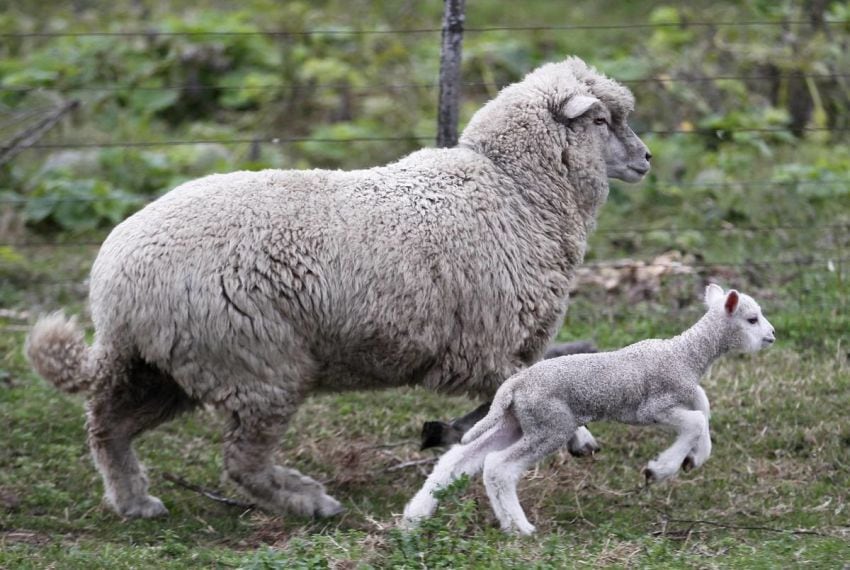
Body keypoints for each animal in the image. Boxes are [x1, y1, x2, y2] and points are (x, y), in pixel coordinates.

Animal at [24, 56, 648, 520]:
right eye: (600, 122)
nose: (645, 158)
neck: (513, 190)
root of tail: (113, 287)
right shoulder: (485, 346)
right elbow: (532, 384)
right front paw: (576, 437)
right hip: (254, 363)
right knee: (240, 461)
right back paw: (311, 503)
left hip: (167, 365)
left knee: (108, 428)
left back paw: (135, 502)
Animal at [404, 282, 776, 532]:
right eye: (752, 319)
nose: (772, 336)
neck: (686, 354)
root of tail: (513, 386)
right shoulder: (651, 408)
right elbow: (697, 420)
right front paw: (660, 469)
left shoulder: (682, 393)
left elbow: (704, 409)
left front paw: (694, 457)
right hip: (551, 424)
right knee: (497, 468)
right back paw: (520, 529)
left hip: (516, 422)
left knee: (457, 460)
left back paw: (415, 517)